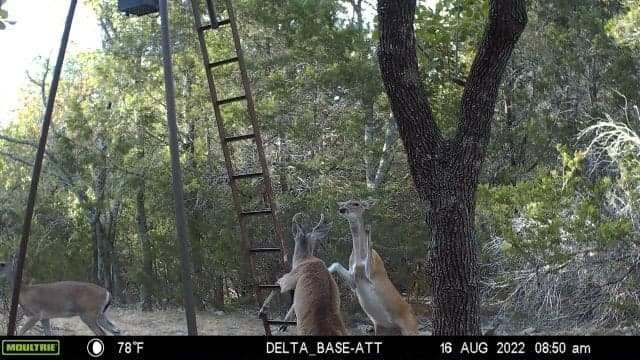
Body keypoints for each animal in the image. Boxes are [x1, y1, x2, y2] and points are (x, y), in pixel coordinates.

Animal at [330, 200, 420, 334]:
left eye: (356, 203)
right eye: (344, 202)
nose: (342, 209)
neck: (359, 258)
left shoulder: (373, 272)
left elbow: (370, 249)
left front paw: (368, 230)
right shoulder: (354, 280)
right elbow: (336, 264)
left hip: (410, 327)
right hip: (382, 327)